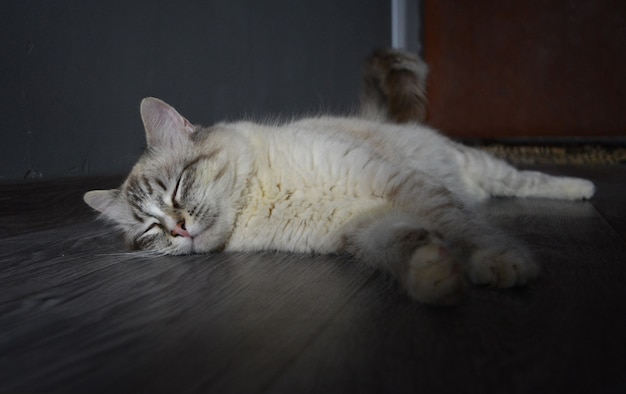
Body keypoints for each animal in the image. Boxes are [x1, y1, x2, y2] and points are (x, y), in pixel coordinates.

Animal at [85, 49, 592, 304]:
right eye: (149, 230)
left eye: (178, 189)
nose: (178, 229)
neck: (262, 202)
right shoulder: (368, 226)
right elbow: (408, 246)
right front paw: (435, 276)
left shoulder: (400, 187)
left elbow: (464, 229)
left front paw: (499, 263)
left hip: (479, 167)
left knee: (522, 181)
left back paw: (583, 188)